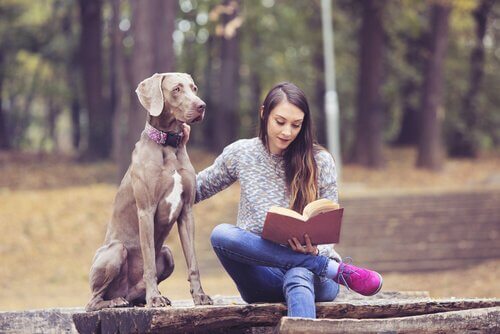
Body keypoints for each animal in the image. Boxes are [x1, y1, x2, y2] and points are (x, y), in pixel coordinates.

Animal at [86, 73, 211, 310]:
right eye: (177, 89)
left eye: (194, 88)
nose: (202, 106)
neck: (168, 145)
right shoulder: (146, 211)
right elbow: (149, 264)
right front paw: (154, 299)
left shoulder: (187, 212)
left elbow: (193, 262)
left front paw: (200, 296)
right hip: (115, 250)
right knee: (93, 300)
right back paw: (117, 301)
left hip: (167, 254)